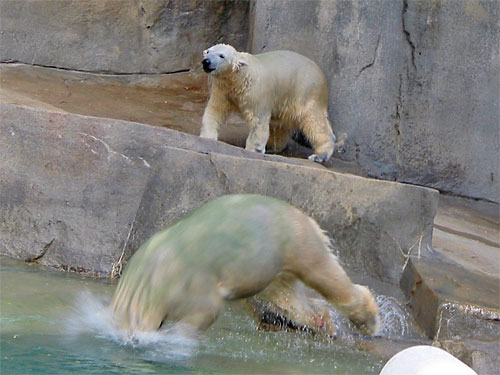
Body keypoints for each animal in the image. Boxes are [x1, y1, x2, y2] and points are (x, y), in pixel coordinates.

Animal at [110, 195, 378, 336]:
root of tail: (305, 217)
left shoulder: (191, 285)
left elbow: (203, 312)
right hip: (272, 262)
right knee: (287, 296)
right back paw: (322, 322)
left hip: (294, 240)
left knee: (323, 276)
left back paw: (369, 321)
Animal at [199, 43, 336, 163]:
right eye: (208, 52)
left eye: (221, 55)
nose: (206, 61)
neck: (239, 77)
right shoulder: (224, 90)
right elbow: (215, 110)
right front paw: (207, 138)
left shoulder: (256, 92)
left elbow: (258, 122)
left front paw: (252, 150)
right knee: (281, 123)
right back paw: (272, 146)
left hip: (306, 91)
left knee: (313, 120)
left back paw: (320, 155)